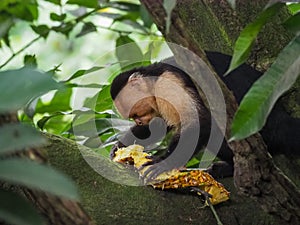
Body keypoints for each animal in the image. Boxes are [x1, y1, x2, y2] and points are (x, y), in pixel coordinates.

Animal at [110, 51, 300, 179]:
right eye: (133, 118)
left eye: (135, 113)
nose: (138, 121)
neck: (155, 77)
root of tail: (279, 116)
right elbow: (157, 126)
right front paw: (121, 145)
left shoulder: (168, 84)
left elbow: (199, 121)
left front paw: (164, 162)